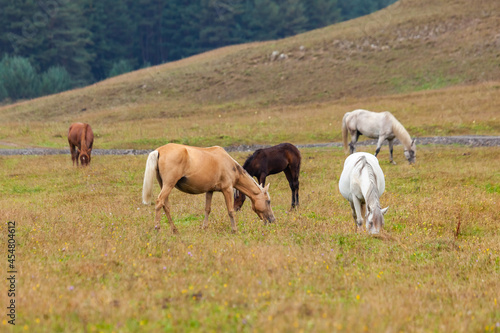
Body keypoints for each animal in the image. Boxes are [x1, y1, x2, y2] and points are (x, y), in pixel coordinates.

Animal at [142, 143, 278, 233]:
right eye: (268, 201)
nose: (272, 220)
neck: (230, 165)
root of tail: (158, 150)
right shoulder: (227, 189)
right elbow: (230, 210)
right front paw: (234, 230)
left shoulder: (210, 191)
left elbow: (207, 209)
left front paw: (204, 227)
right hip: (168, 185)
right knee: (159, 203)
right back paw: (157, 229)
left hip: (164, 185)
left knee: (166, 206)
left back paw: (174, 229)